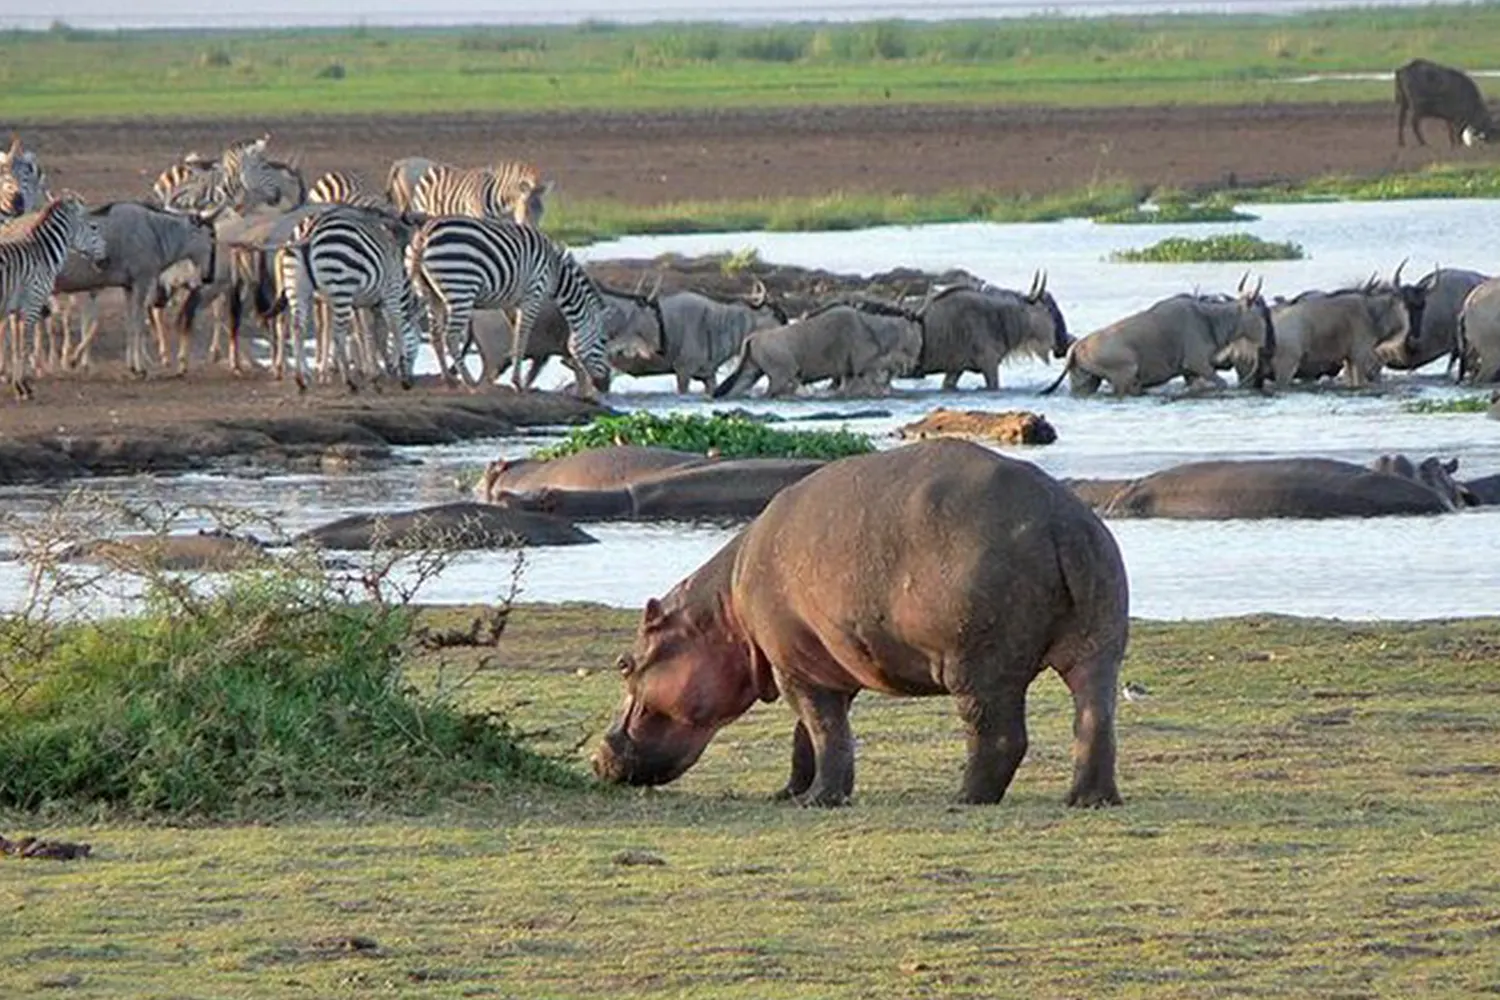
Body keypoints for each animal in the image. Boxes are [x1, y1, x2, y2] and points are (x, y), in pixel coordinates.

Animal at [0, 194, 107, 398]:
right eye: (93, 227)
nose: (105, 257)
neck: (42, 253)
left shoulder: (21, 308)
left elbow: (19, 345)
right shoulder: (32, 304)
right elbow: (26, 344)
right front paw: (23, 386)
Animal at [277, 203, 426, 389]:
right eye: (419, 341)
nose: (412, 380)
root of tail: (311, 231)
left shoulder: (366, 302)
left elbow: (372, 333)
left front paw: (380, 371)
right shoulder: (391, 294)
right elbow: (394, 330)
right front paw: (396, 372)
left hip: (298, 290)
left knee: (297, 327)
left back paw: (301, 378)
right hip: (341, 288)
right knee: (337, 333)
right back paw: (349, 381)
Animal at [405, 215, 609, 398]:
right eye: (604, 341)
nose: (606, 386)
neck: (555, 272)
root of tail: (424, 234)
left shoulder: (514, 303)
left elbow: (515, 334)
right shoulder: (533, 296)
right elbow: (522, 337)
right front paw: (518, 383)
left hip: (431, 294)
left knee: (436, 336)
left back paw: (450, 381)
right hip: (461, 287)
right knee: (451, 336)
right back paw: (470, 383)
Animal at [591, 440, 1128, 809]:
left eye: (624, 664)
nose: (597, 757)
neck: (721, 612)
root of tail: (1062, 521)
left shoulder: (796, 668)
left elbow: (826, 732)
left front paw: (816, 800)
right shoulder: (810, 663)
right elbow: (806, 736)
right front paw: (789, 793)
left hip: (978, 665)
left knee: (999, 735)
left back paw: (965, 798)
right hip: (1099, 642)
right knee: (1094, 717)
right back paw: (1089, 799)